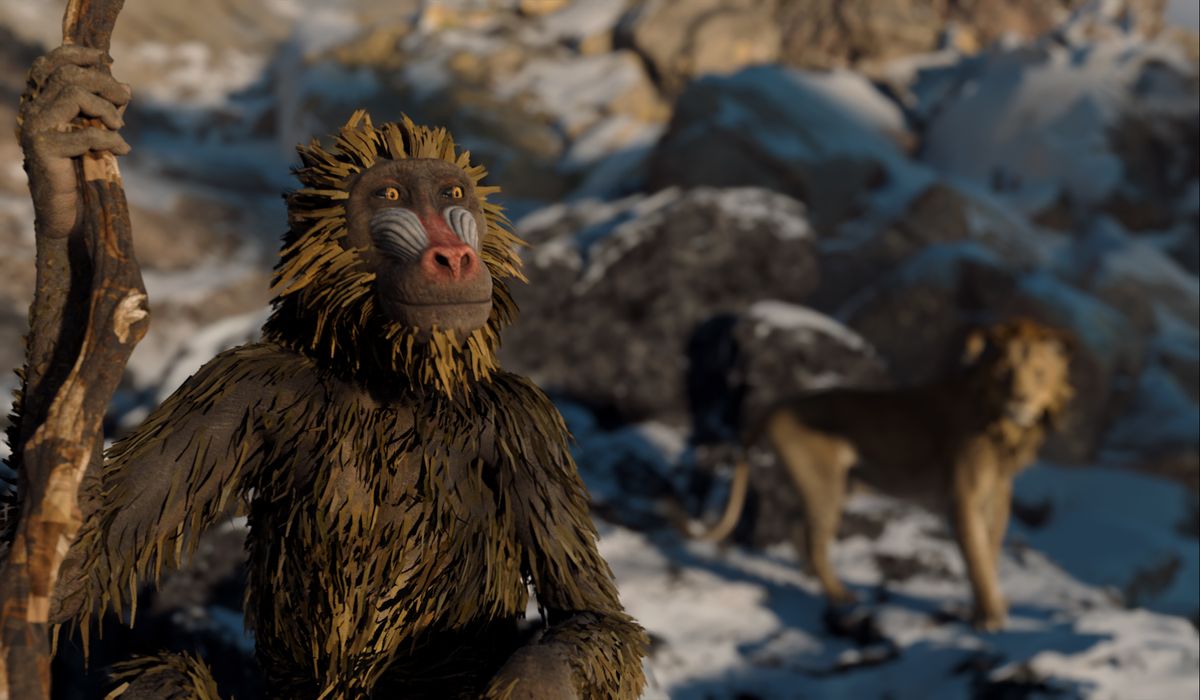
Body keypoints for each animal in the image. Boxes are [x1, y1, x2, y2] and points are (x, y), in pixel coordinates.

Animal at [693, 318, 1074, 630]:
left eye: (1039, 372)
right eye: (1004, 372)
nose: (1020, 399)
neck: (1008, 431)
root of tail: (778, 407)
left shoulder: (997, 491)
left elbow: (989, 548)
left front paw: (993, 603)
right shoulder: (962, 495)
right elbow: (975, 555)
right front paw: (989, 616)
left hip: (837, 486)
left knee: (795, 524)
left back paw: (812, 577)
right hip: (824, 484)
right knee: (813, 537)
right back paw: (840, 594)